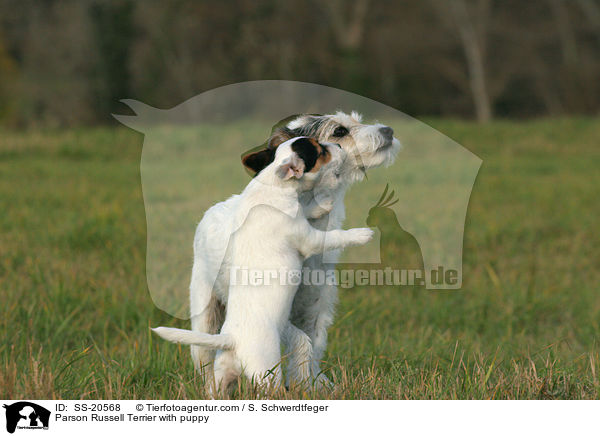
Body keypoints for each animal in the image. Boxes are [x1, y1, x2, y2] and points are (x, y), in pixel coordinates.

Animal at [152, 137, 372, 392]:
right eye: (320, 150)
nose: (338, 146)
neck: (273, 184)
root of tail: (232, 340)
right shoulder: (308, 239)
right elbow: (334, 236)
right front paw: (362, 234)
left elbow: (306, 208)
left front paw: (320, 205)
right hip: (265, 369)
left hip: (222, 374)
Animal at [188, 110, 400, 386]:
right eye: (339, 131)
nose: (388, 131)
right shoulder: (281, 314)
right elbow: (302, 341)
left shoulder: (317, 307)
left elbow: (315, 346)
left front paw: (315, 384)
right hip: (204, 314)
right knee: (204, 358)